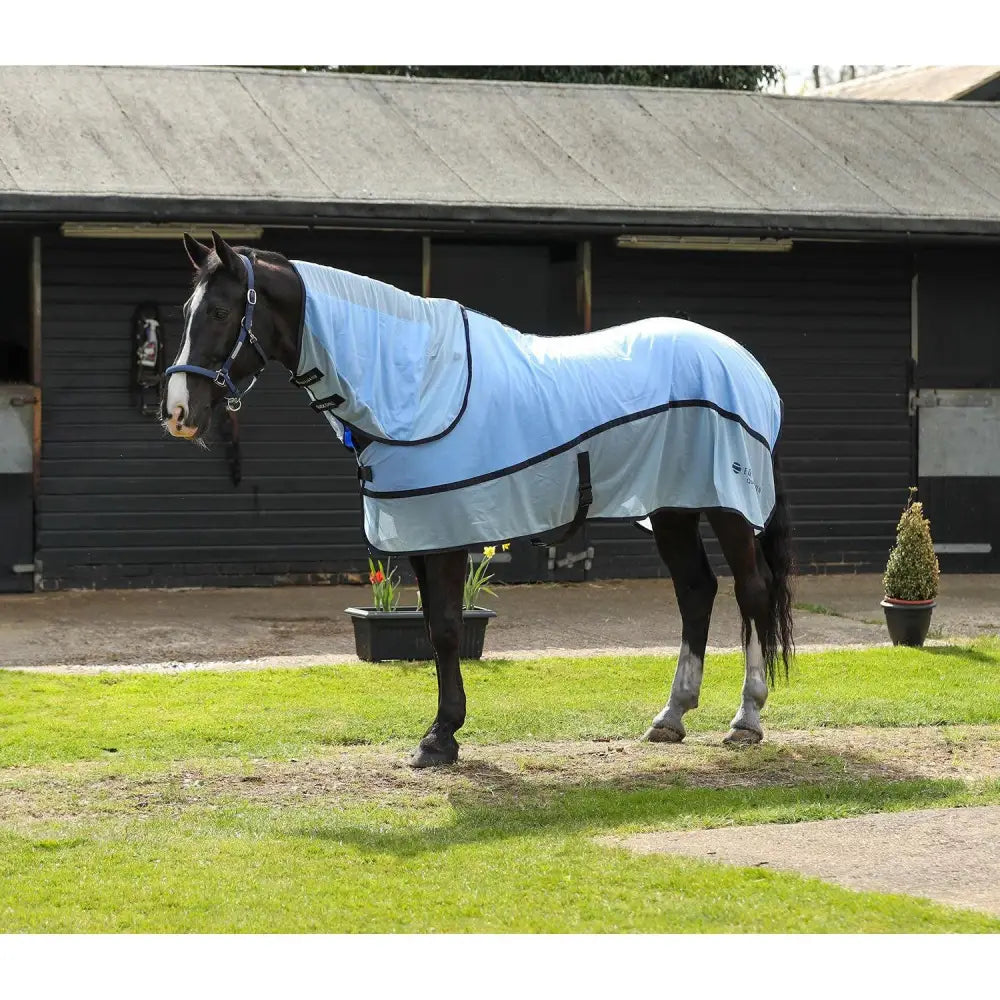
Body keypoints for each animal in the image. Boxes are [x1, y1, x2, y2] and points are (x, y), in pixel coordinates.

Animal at [162, 231, 794, 768]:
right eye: (188, 312)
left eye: (219, 312)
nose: (177, 412)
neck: (413, 382)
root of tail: (747, 366)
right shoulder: (423, 531)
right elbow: (433, 626)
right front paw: (443, 734)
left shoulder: (444, 533)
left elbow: (445, 629)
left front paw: (440, 737)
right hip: (672, 508)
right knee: (696, 592)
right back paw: (671, 716)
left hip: (728, 508)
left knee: (752, 591)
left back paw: (746, 719)